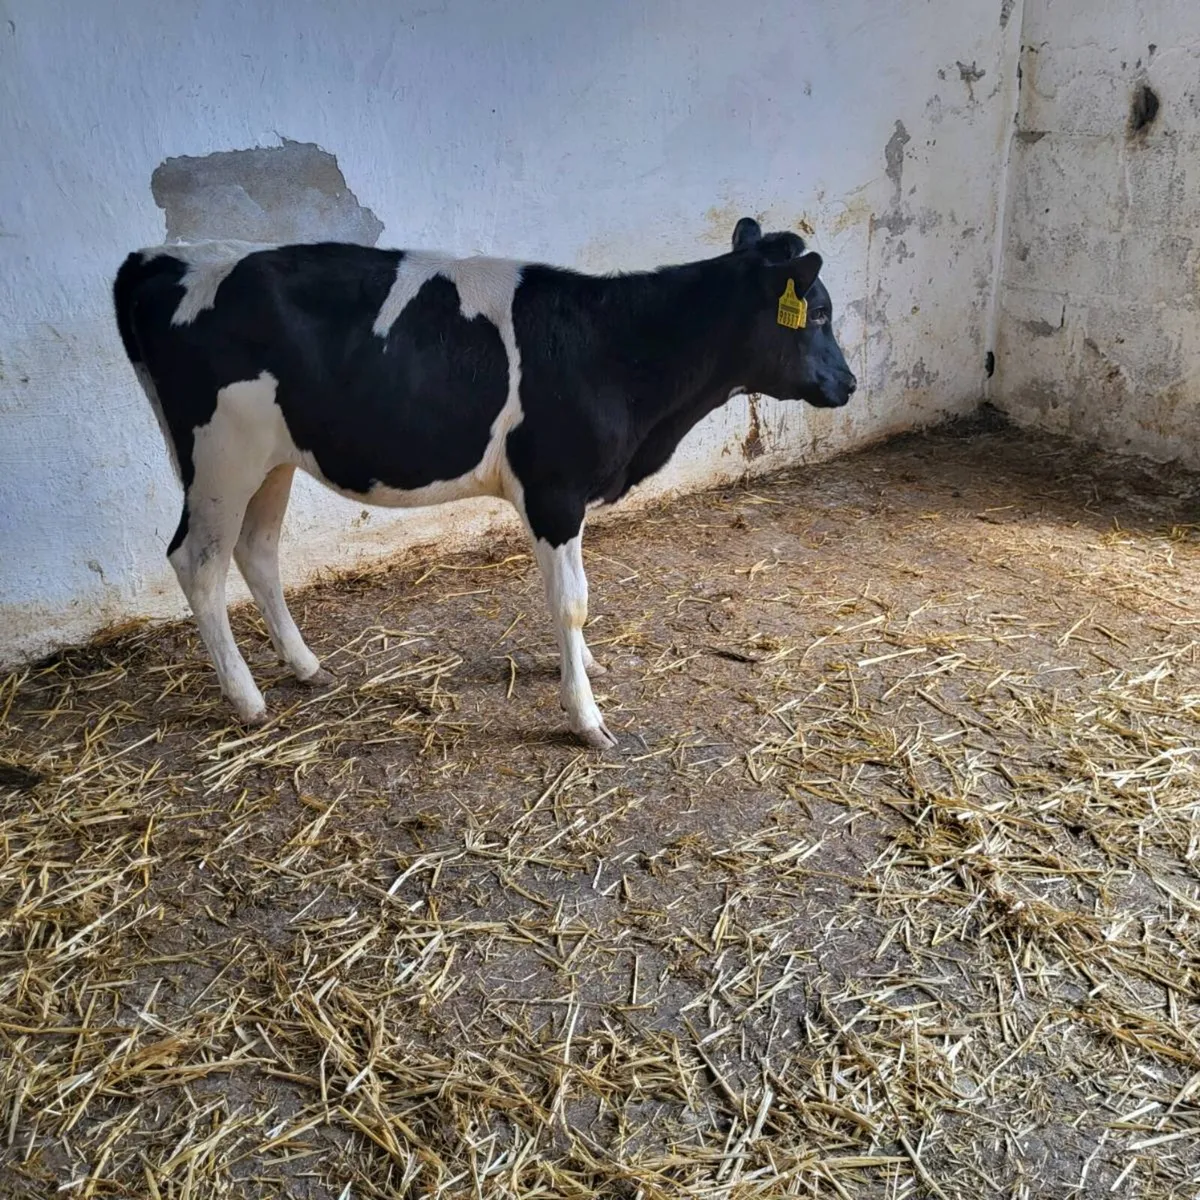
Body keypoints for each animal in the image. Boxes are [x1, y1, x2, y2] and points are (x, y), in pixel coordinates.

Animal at [112, 217, 856, 749]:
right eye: (817, 315)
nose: (848, 383)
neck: (615, 348)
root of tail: (156, 256)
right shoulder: (554, 491)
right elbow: (571, 602)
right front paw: (585, 716)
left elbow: (576, 600)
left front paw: (586, 667)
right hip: (221, 453)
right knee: (199, 562)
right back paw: (247, 701)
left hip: (272, 458)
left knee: (257, 551)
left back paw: (305, 665)